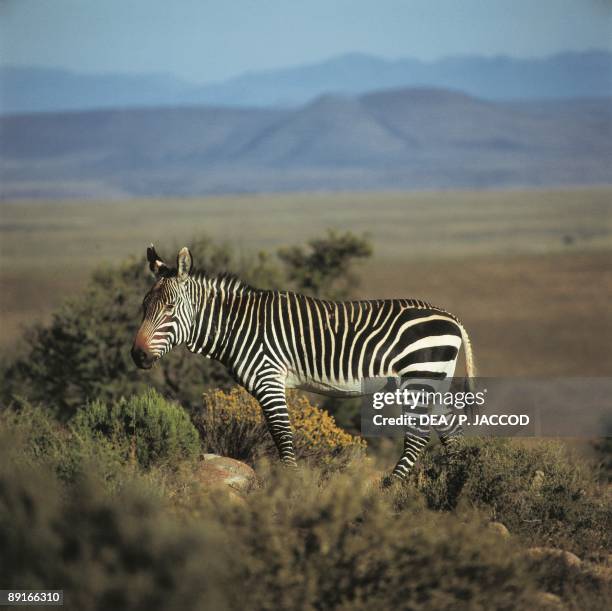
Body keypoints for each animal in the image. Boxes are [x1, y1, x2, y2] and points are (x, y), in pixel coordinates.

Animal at [130, 245, 474, 482]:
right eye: (144, 306)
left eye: (170, 307)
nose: (138, 355)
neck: (236, 326)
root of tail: (452, 317)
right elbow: (280, 434)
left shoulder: (269, 378)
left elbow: (282, 434)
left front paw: (291, 487)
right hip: (434, 381)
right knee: (451, 432)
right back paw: (461, 482)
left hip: (419, 379)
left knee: (418, 438)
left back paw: (390, 488)